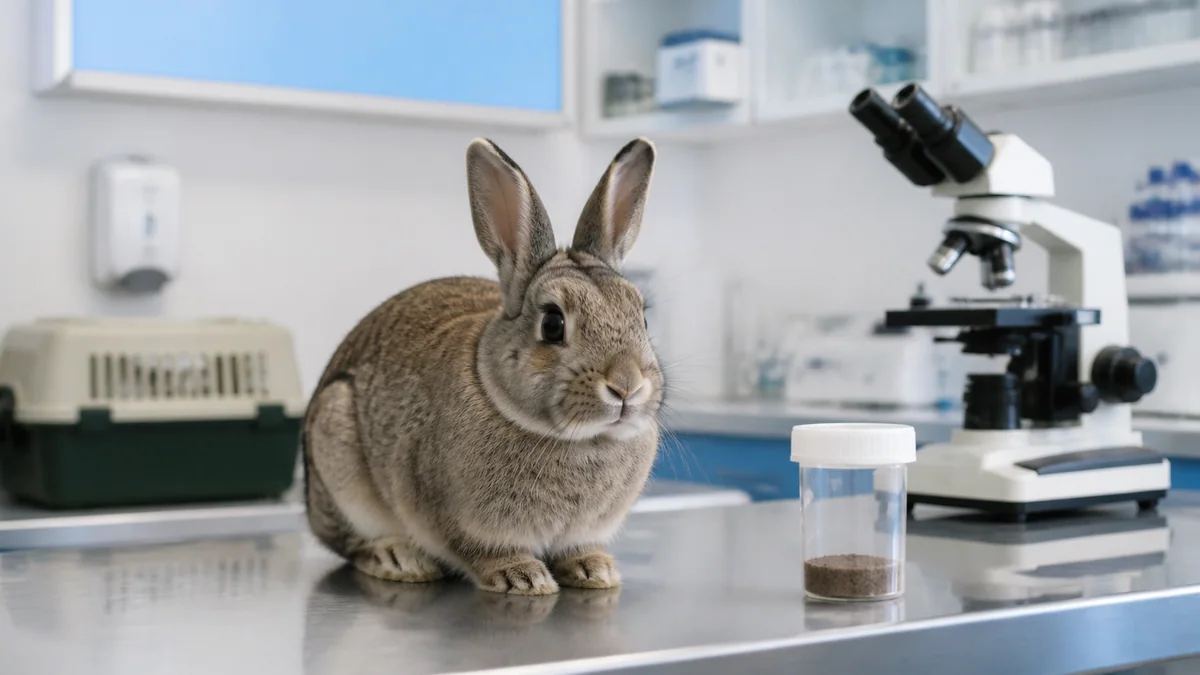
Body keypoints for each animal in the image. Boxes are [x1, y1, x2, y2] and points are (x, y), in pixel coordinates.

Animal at [302, 136, 663, 596]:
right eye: (552, 324)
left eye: (643, 317)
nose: (626, 386)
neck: (580, 440)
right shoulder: (451, 515)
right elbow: (482, 552)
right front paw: (522, 577)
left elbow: (577, 549)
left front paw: (595, 570)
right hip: (337, 453)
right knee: (351, 544)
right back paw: (398, 558)